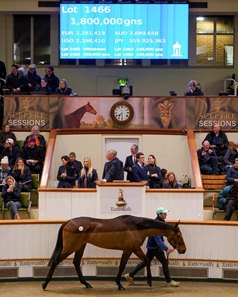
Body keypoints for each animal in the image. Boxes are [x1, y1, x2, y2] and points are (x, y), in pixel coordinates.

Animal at [41, 214, 185, 290]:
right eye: (178, 235)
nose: (183, 250)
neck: (136, 226)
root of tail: (68, 222)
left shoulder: (133, 249)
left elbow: (145, 261)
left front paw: (147, 282)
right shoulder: (129, 249)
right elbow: (123, 265)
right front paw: (120, 284)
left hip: (80, 247)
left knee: (76, 262)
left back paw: (86, 283)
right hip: (70, 248)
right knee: (56, 261)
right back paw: (45, 284)